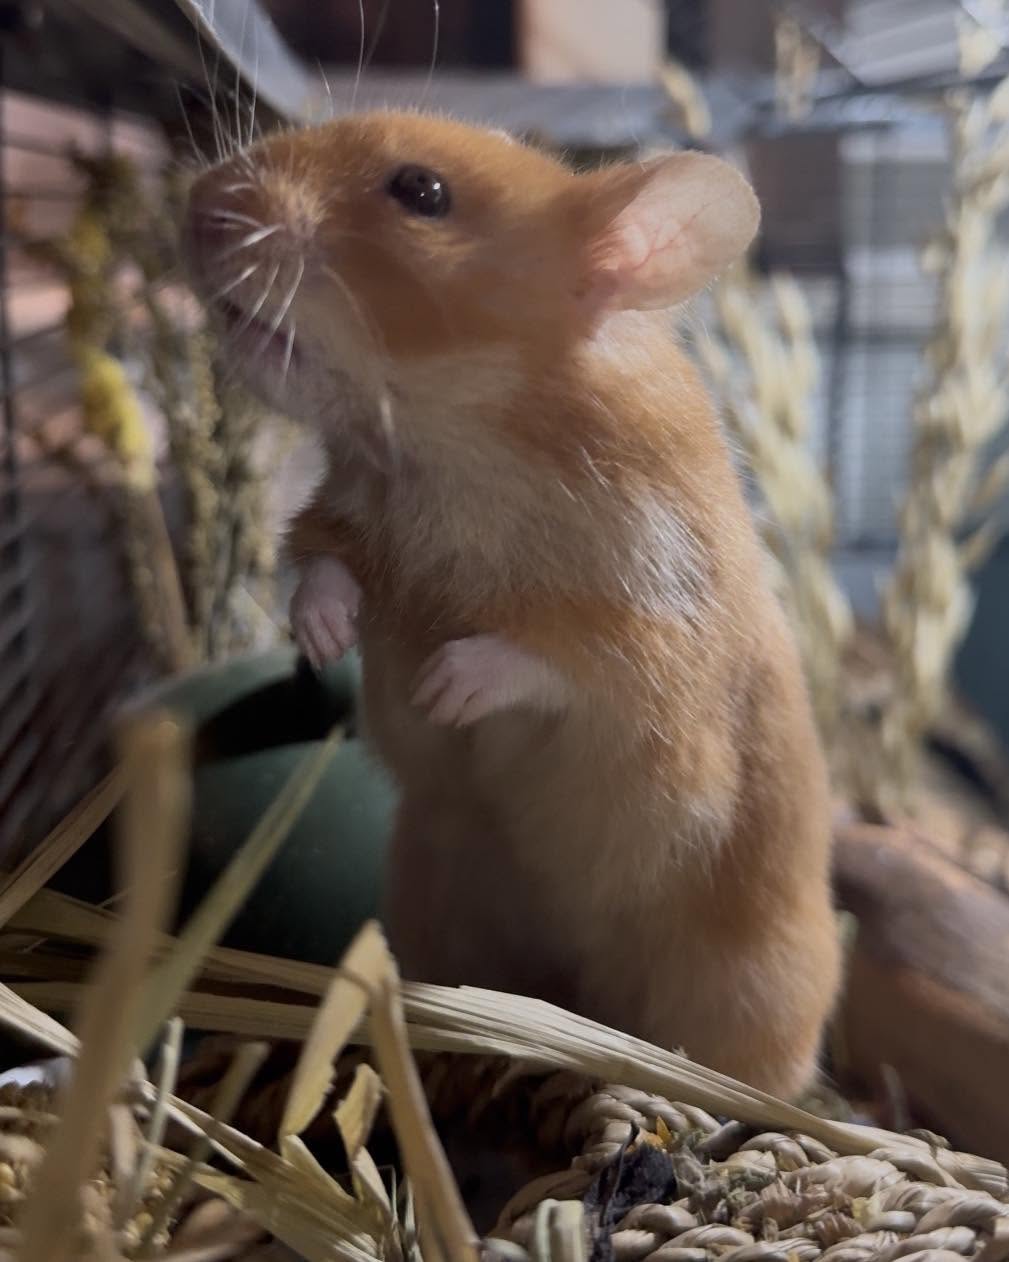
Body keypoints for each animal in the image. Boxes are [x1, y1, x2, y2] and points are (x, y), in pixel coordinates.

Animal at [184, 111, 840, 1097]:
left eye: (420, 192)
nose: (195, 200)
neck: (460, 441)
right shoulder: (345, 508)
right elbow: (325, 565)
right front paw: (327, 638)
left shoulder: (650, 630)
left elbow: (548, 657)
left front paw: (443, 686)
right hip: (432, 892)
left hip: (745, 985)